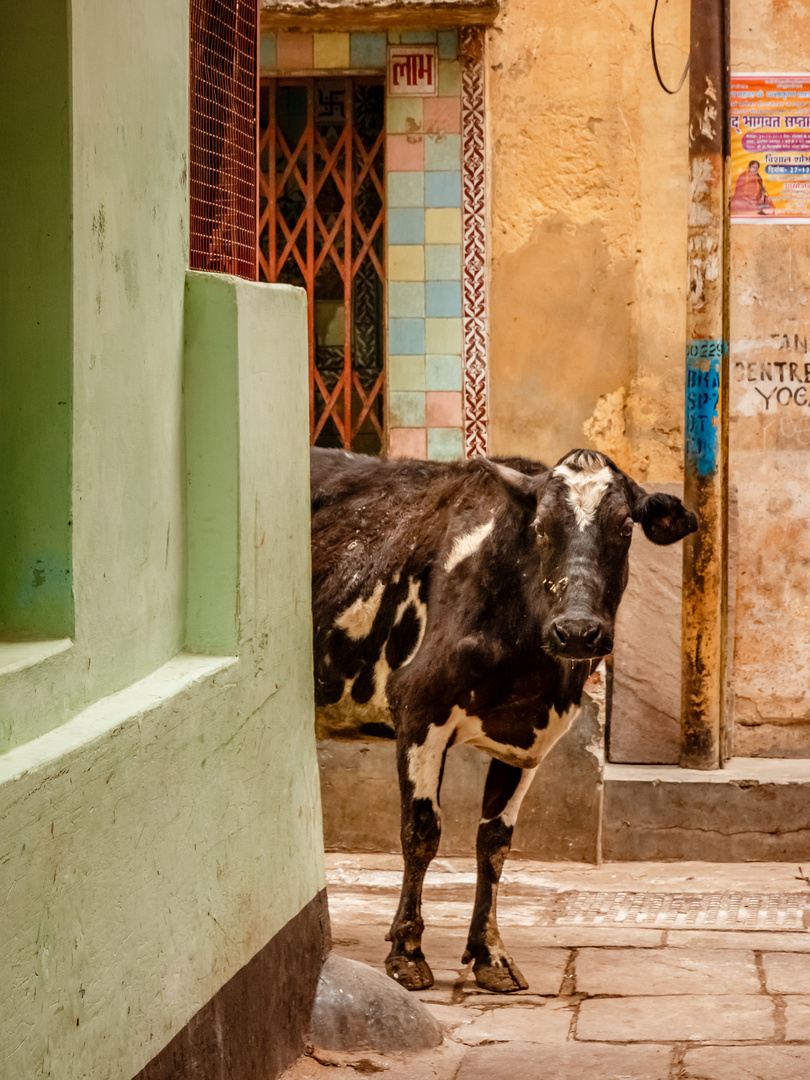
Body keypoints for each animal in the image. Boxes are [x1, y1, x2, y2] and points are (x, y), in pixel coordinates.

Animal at [311, 442, 699, 989]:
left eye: (625, 527)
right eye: (541, 527)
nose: (577, 631)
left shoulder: (532, 739)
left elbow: (494, 841)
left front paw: (489, 954)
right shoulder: (418, 711)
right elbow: (420, 832)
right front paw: (407, 952)